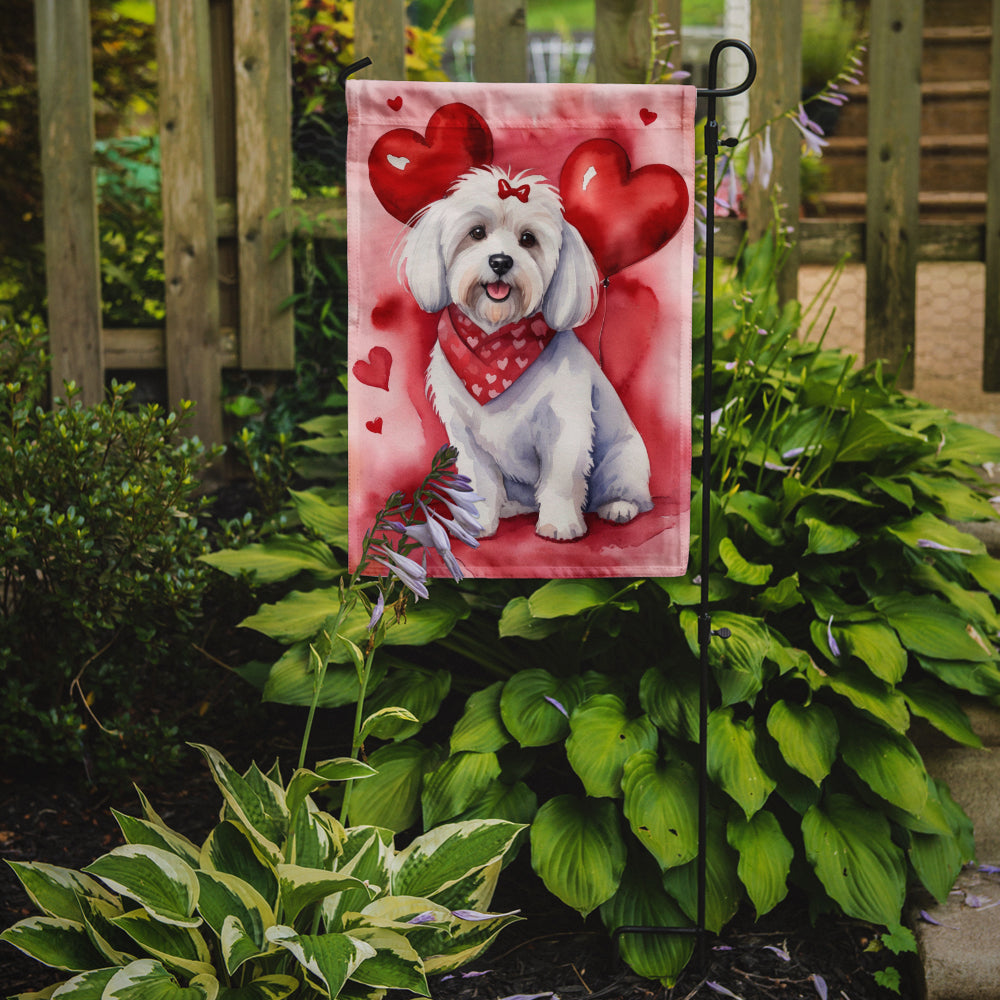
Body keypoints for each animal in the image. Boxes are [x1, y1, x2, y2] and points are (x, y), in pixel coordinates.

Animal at [394, 166, 652, 540]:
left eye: (528, 239)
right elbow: (481, 481)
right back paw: (513, 507)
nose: (501, 261)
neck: (495, 340)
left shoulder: (565, 426)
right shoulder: (466, 435)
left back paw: (618, 506)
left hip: (624, 459)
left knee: (625, 492)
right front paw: (478, 523)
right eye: (476, 232)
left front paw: (560, 524)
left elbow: (560, 479)